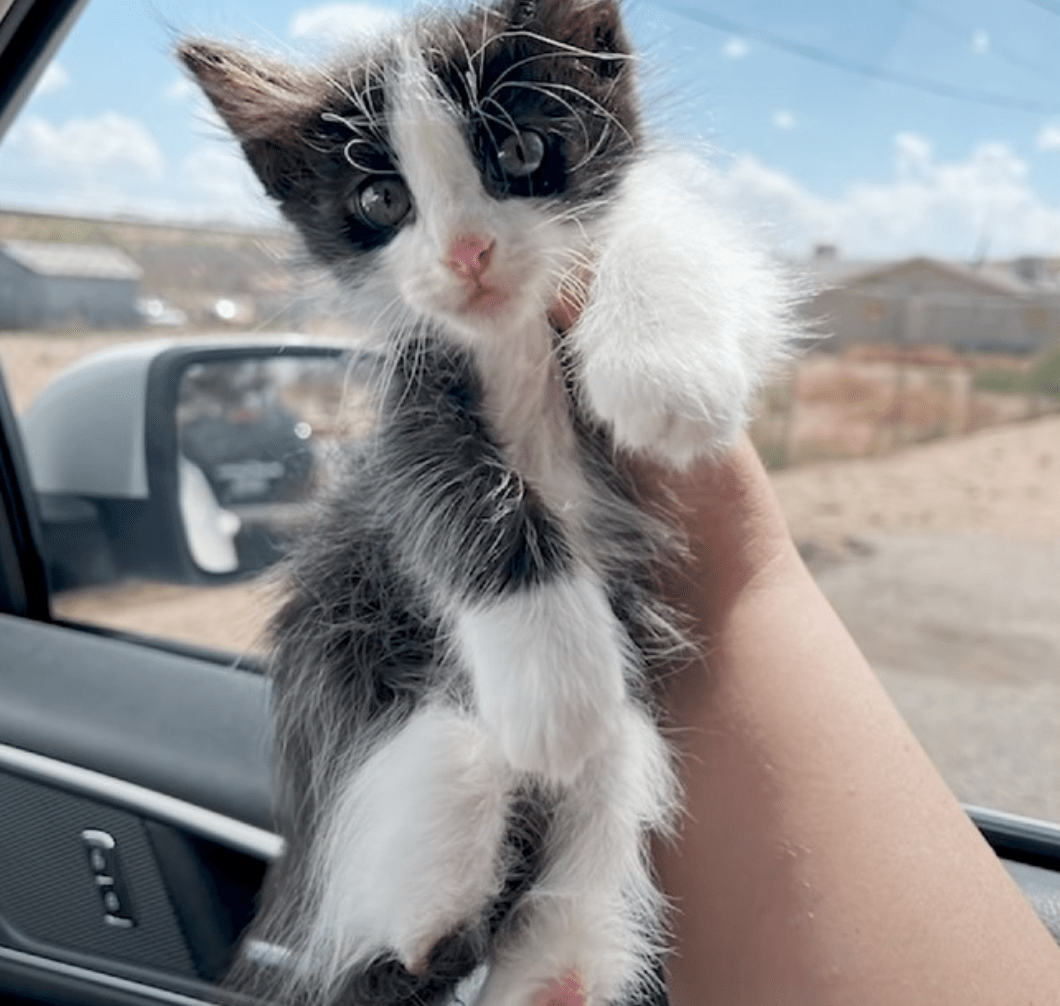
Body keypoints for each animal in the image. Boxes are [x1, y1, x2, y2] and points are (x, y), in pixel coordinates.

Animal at [178, 1, 797, 1004]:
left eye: (517, 150)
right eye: (381, 202)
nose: (467, 252)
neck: (510, 343)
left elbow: (671, 231)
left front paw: (664, 371)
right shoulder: (406, 414)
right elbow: (442, 493)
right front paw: (556, 689)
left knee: (607, 782)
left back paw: (558, 963)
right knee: (436, 820)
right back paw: (444, 883)